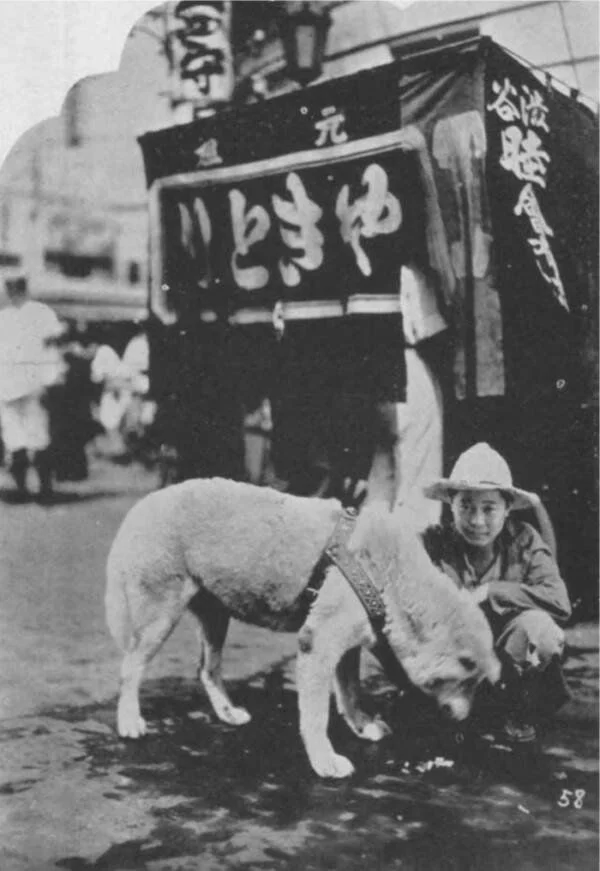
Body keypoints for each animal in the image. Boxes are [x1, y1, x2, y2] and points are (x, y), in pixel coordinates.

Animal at [105, 480, 500, 780]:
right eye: (468, 680)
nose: (464, 718)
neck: (391, 577)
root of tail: (145, 503)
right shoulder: (318, 643)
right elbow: (316, 714)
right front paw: (325, 761)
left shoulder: (348, 646)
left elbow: (350, 692)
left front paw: (361, 725)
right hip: (159, 614)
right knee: (130, 667)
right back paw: (129, 721)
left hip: (216, 614)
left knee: (206, 668)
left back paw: (228, 713)